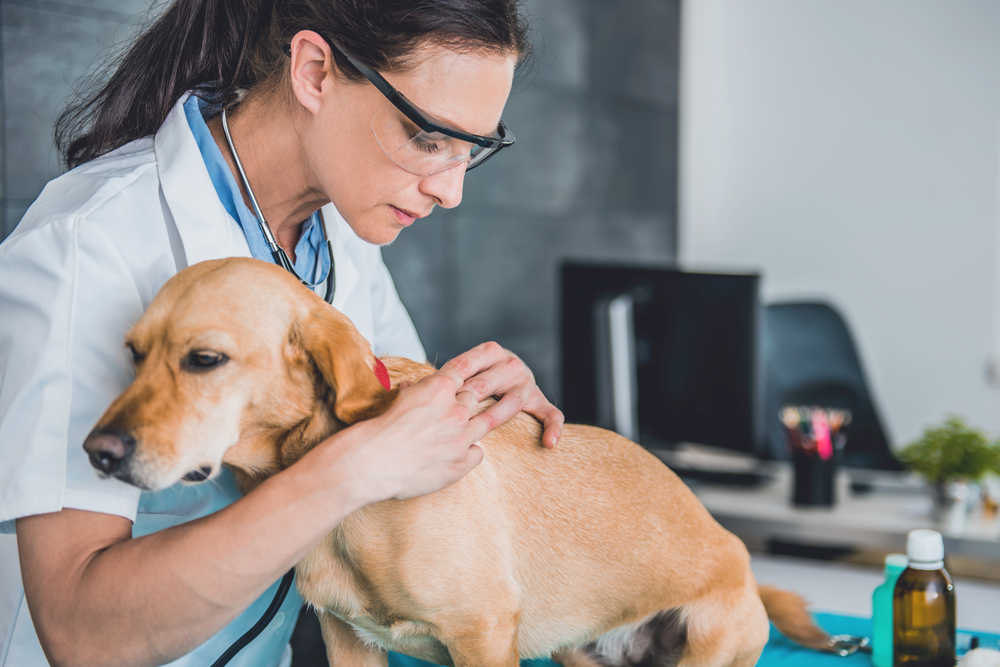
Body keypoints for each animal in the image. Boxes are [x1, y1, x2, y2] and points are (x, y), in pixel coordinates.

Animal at [84, 258, 828, 664]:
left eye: (205, 358)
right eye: (132, 353)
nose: (97, 452)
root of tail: (745, 567)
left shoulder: (483, 635)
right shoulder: (349, 641)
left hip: (709, 637)